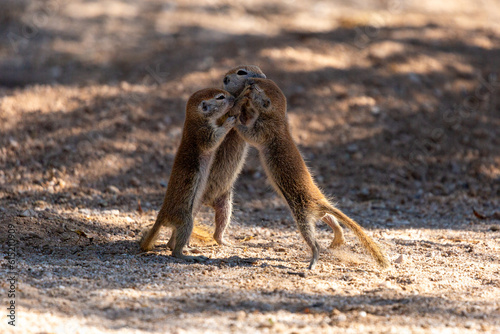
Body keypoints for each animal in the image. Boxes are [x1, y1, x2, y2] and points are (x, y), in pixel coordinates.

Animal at [139, 88, 236, 260]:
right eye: (220, 97)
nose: (234, 98)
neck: (193, 120)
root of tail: (162, 215)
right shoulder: (203, 133)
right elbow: (214, 139)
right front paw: (229, 122)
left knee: (172, 243)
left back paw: (189, 250)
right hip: (186, 220)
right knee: (175, 251)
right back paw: (187, 255)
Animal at [166, 66, 268, 248]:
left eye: (258, 68)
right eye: (241, 72)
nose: (262, 77)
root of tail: (207, 201)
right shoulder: (225, 114)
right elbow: (234, 111)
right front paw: (245, 95)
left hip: (225, 203)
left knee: (219, 226)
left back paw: (225, 241)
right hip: (194, 202)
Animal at [232, 78, 388, 268]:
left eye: (256, 87)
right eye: (264, 81)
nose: (249, 81)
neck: (280, 121)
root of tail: (320, 201)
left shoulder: (263, 130)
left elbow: (249, 134)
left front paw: (236, 119)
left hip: (302, 215)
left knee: (313, 240)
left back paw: (314, 259)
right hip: (314, 213)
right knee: (331, 219)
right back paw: (338, 239)